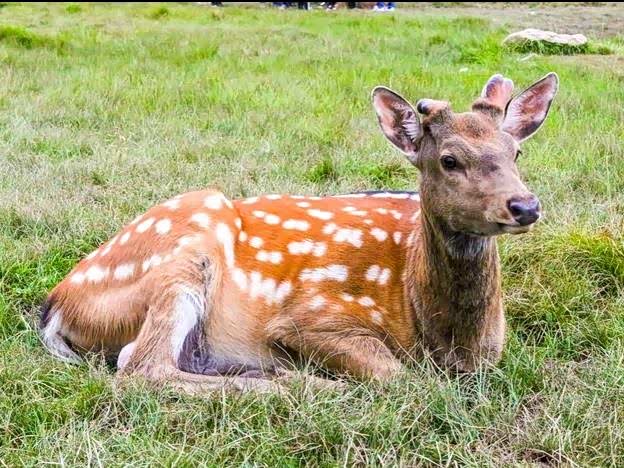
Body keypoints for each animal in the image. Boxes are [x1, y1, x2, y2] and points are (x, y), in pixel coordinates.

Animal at [39, 73, 558, 393]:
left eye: (515, 153)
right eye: (449, 159)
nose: (525, 205)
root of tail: (55, 306)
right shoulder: (311, 314)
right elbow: (397, 376)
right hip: (188, 250)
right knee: (140, 366)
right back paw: (294, 382)